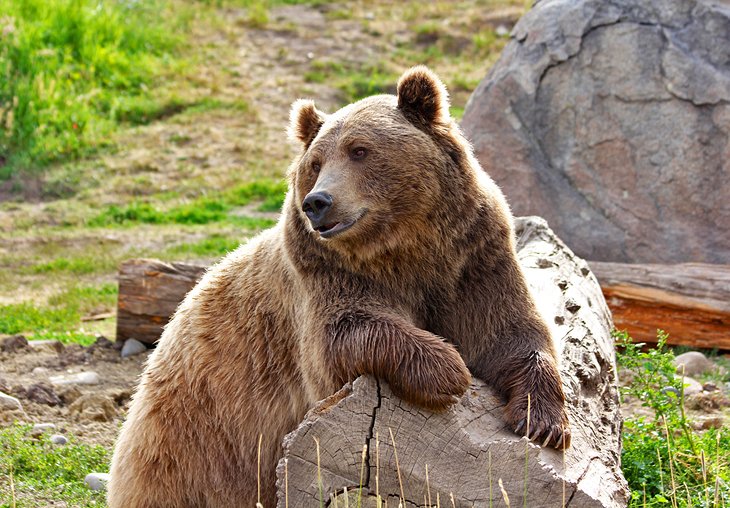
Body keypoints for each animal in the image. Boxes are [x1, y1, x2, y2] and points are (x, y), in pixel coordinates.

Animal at [106, 67, 568, 508]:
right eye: (315, 162)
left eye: (359, 150)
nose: (317, 202)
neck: (405, 249)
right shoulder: (325, 277)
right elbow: (343, 336)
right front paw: (447, 369)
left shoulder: (472, 261)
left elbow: (509, 334)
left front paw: (543, 422)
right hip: (194, 438)